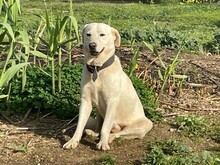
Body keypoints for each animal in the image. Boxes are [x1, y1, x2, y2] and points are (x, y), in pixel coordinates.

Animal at [62, 22, 152, 151]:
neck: (97, 68)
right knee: (99, 126)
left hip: (146, 124)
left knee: (119, 132)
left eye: (102, 35)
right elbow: (80, 126)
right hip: (98, 114)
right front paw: (73, 141)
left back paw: (109, 137)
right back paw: (93, 132)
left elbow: (106, 127)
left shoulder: (111, 101)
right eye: (88, 34)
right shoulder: (86, 101)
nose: (92, 45)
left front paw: (103, 143)